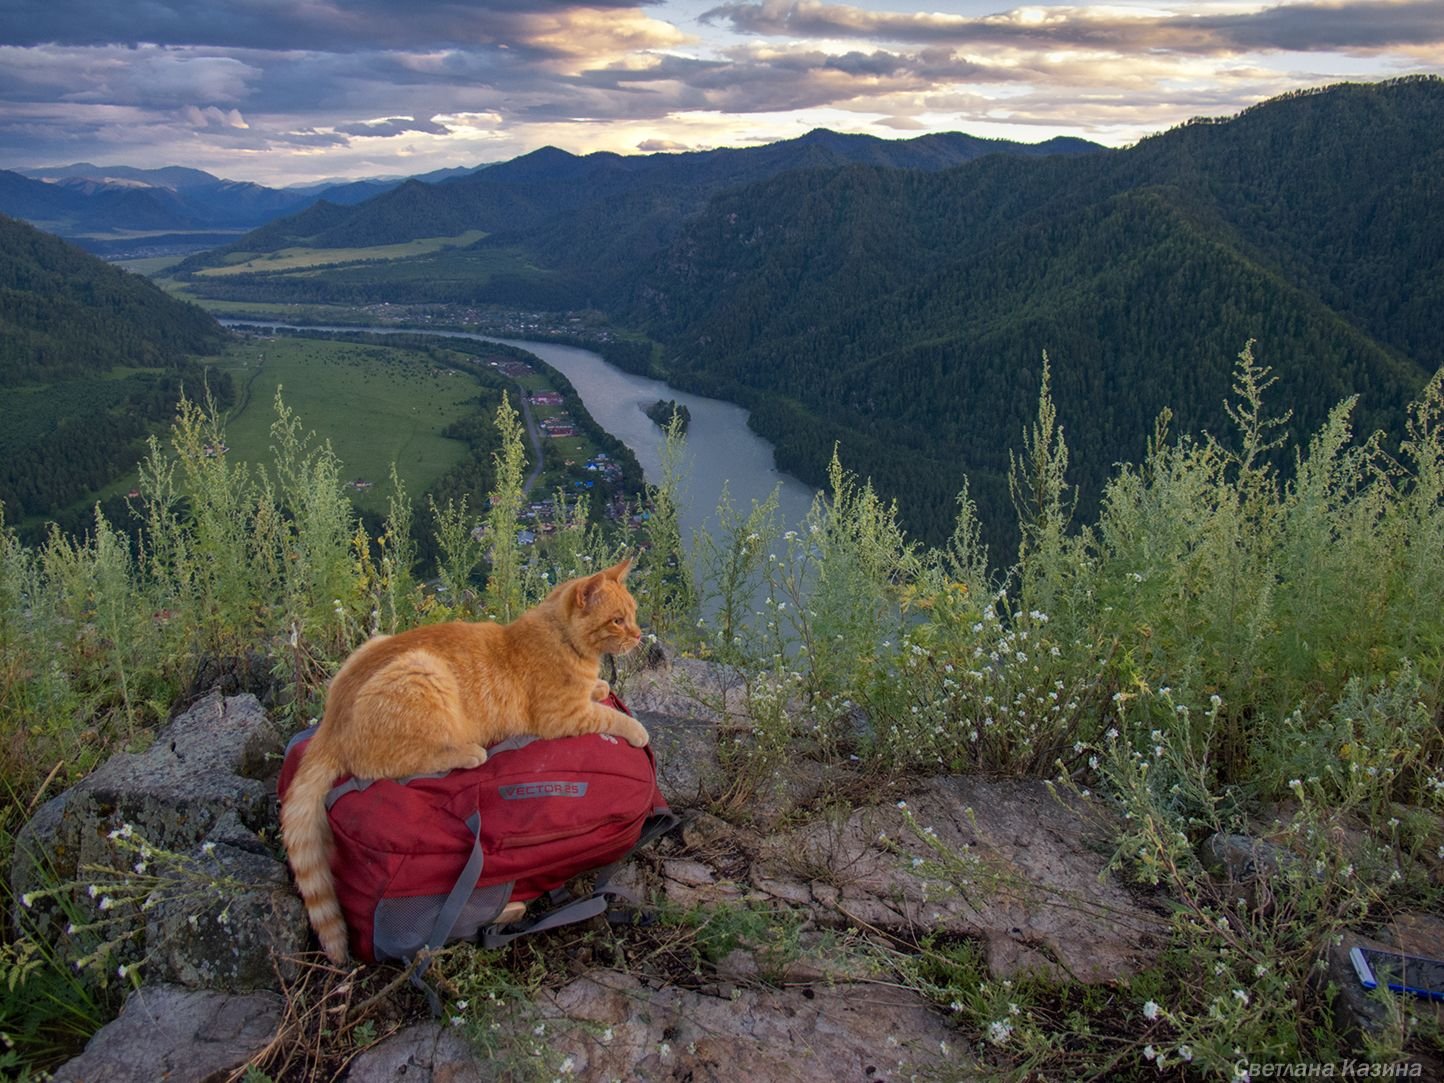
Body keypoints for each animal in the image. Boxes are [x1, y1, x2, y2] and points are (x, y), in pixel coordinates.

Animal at [278, 560, 646, 964]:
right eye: (617, 620)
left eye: (633, 614)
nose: (640, 636)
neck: (561, 638)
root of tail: (329, 722)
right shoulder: (562, 719)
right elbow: (609, 717)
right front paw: (635, 728)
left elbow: (597, 694)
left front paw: (599, 686)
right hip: (422, 675)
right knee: (384, 763)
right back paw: (469, 752)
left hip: (375, 644)